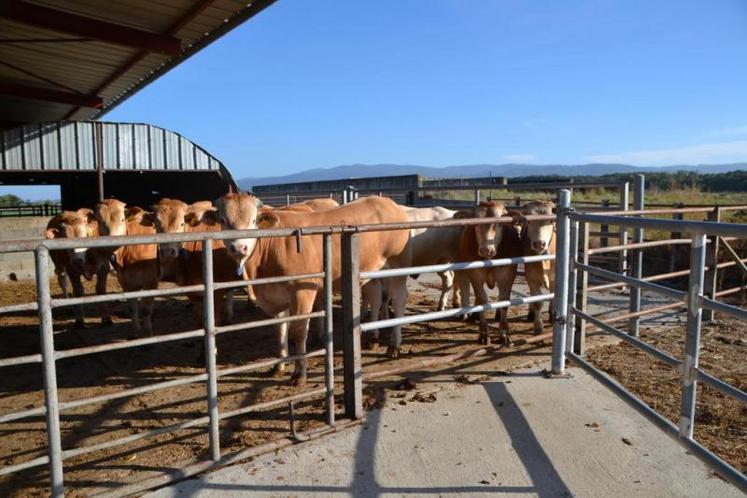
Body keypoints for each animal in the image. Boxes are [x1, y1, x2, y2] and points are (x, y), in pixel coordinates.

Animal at [216, 193, 412, 384]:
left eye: (253, 221)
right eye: (224, 221)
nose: (239, 248)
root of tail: (388, 202)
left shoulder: (302, 292)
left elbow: (299, 332)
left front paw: (299, 373)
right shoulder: (277, 296)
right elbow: (281, 330)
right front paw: (279, 366)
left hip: (397, 266)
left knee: (399, 300)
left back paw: (394, 345)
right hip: (370, 271)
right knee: (376, 297)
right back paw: (373, 338)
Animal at [452, 201, 524, 346]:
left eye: (500, 224)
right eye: (475, 224)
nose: (486, 250)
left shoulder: (508, 275)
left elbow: (504, 300)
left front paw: (504, 334)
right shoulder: (475, 275)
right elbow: (482, 299)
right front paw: (484, 333)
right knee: (464, 288)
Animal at [520, 199, 556, 334]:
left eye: (551, 221)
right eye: (529, 221)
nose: (539, 244)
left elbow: (554, 296)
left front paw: (553, 316)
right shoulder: (531, 277)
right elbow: (537, 302)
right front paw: (538, 326)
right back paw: (531, 314)